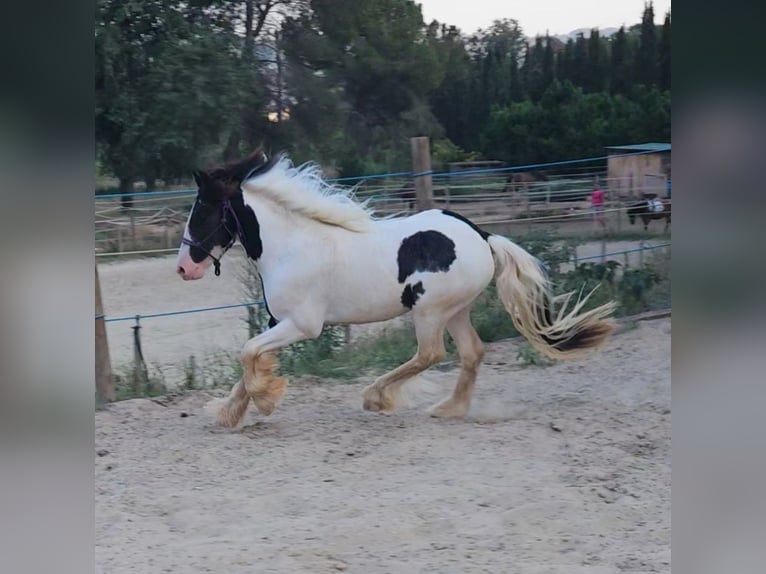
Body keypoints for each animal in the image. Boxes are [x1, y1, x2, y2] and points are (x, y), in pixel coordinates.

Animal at [174, 151, 616, 430]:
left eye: (202, 210)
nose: (184, 267)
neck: (292, 246)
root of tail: (481, 235)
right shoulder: (277, 322)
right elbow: (248, 359)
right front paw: (229, 412)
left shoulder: (302, 325)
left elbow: (248, 354)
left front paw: (264, 400)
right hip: (455, 311)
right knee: (472, 352)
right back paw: (448, 408)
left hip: (430, 311)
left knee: (431, 354)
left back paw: (376, 396)